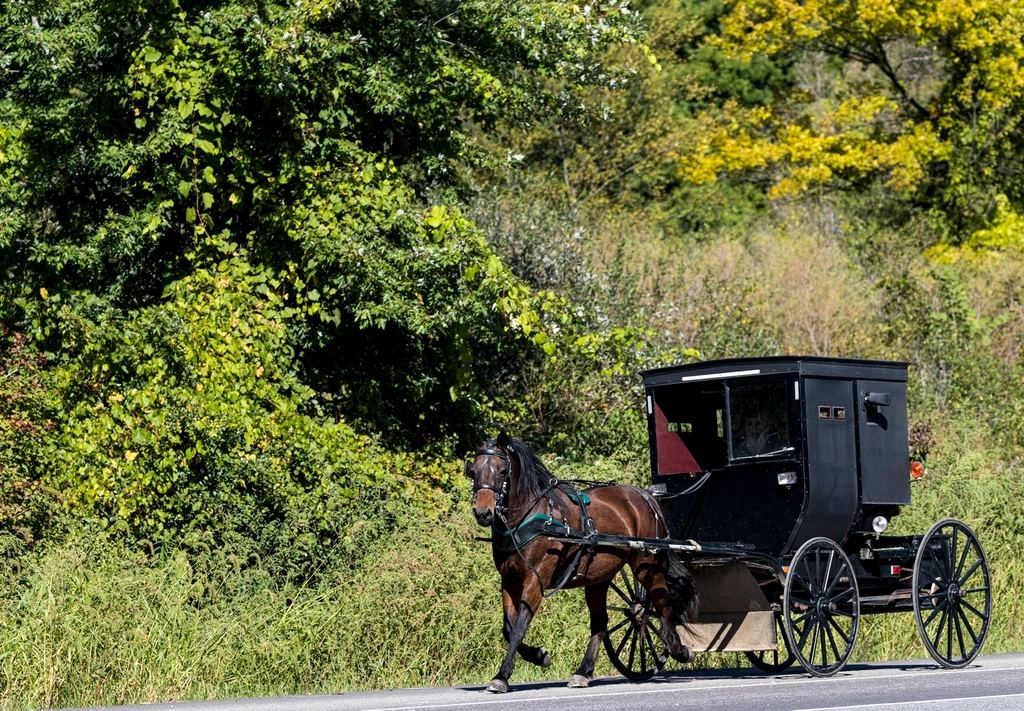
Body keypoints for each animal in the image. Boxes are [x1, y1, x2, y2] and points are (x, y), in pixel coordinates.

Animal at [465, 432, 698, 693]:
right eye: (473, 471)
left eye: (503, 470)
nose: (483, 512)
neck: (529, 518)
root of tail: (646, 497)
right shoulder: (510, 581)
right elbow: (508, 628)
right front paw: (539, 656)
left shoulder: (536, 579)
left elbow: (518, 629)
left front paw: (502, 676)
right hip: (598, 579)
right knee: (601, 623)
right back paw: (583, 672)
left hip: (647, 566)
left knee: (661, 603)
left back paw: (679, 650)